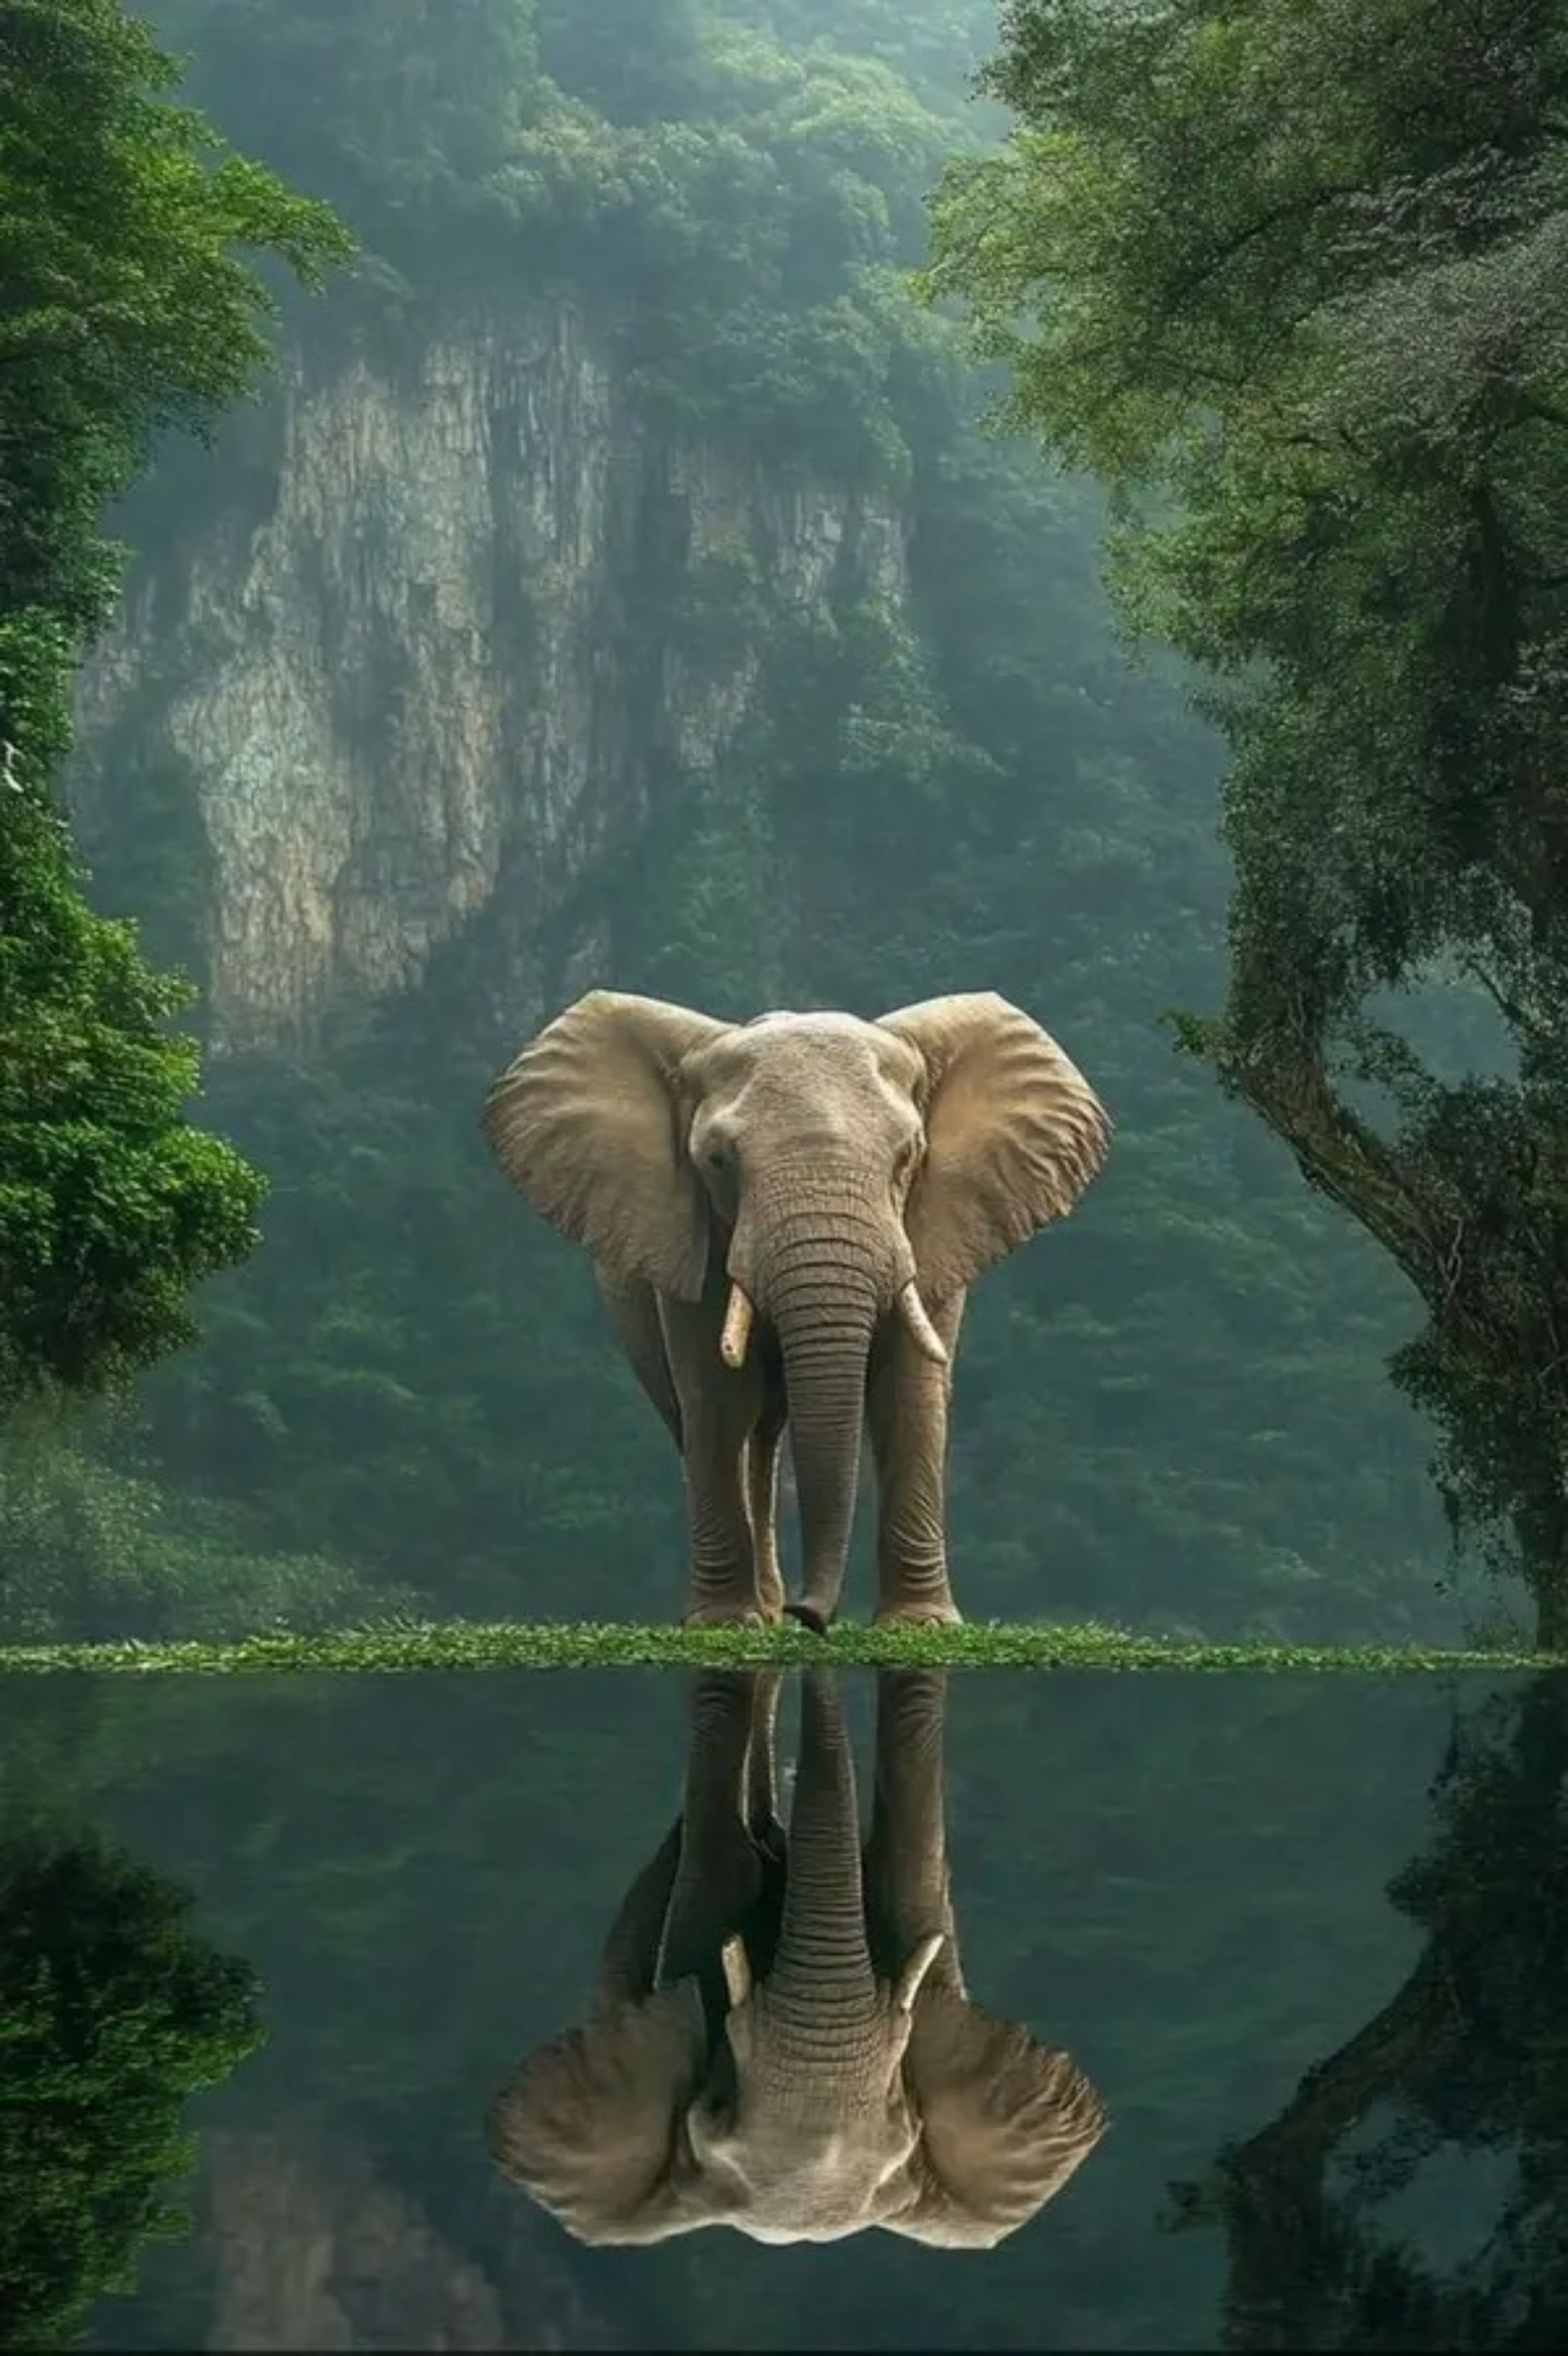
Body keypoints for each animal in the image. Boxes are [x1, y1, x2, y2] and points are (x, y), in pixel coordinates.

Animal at [483, 991, 1110, 1628]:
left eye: (908, 1157)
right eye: (718, 1161)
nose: (808, 1615)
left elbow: (909, 1392)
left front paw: (921, 1626)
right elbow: (717, 1396)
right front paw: (722, 1624)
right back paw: (757, 1613)